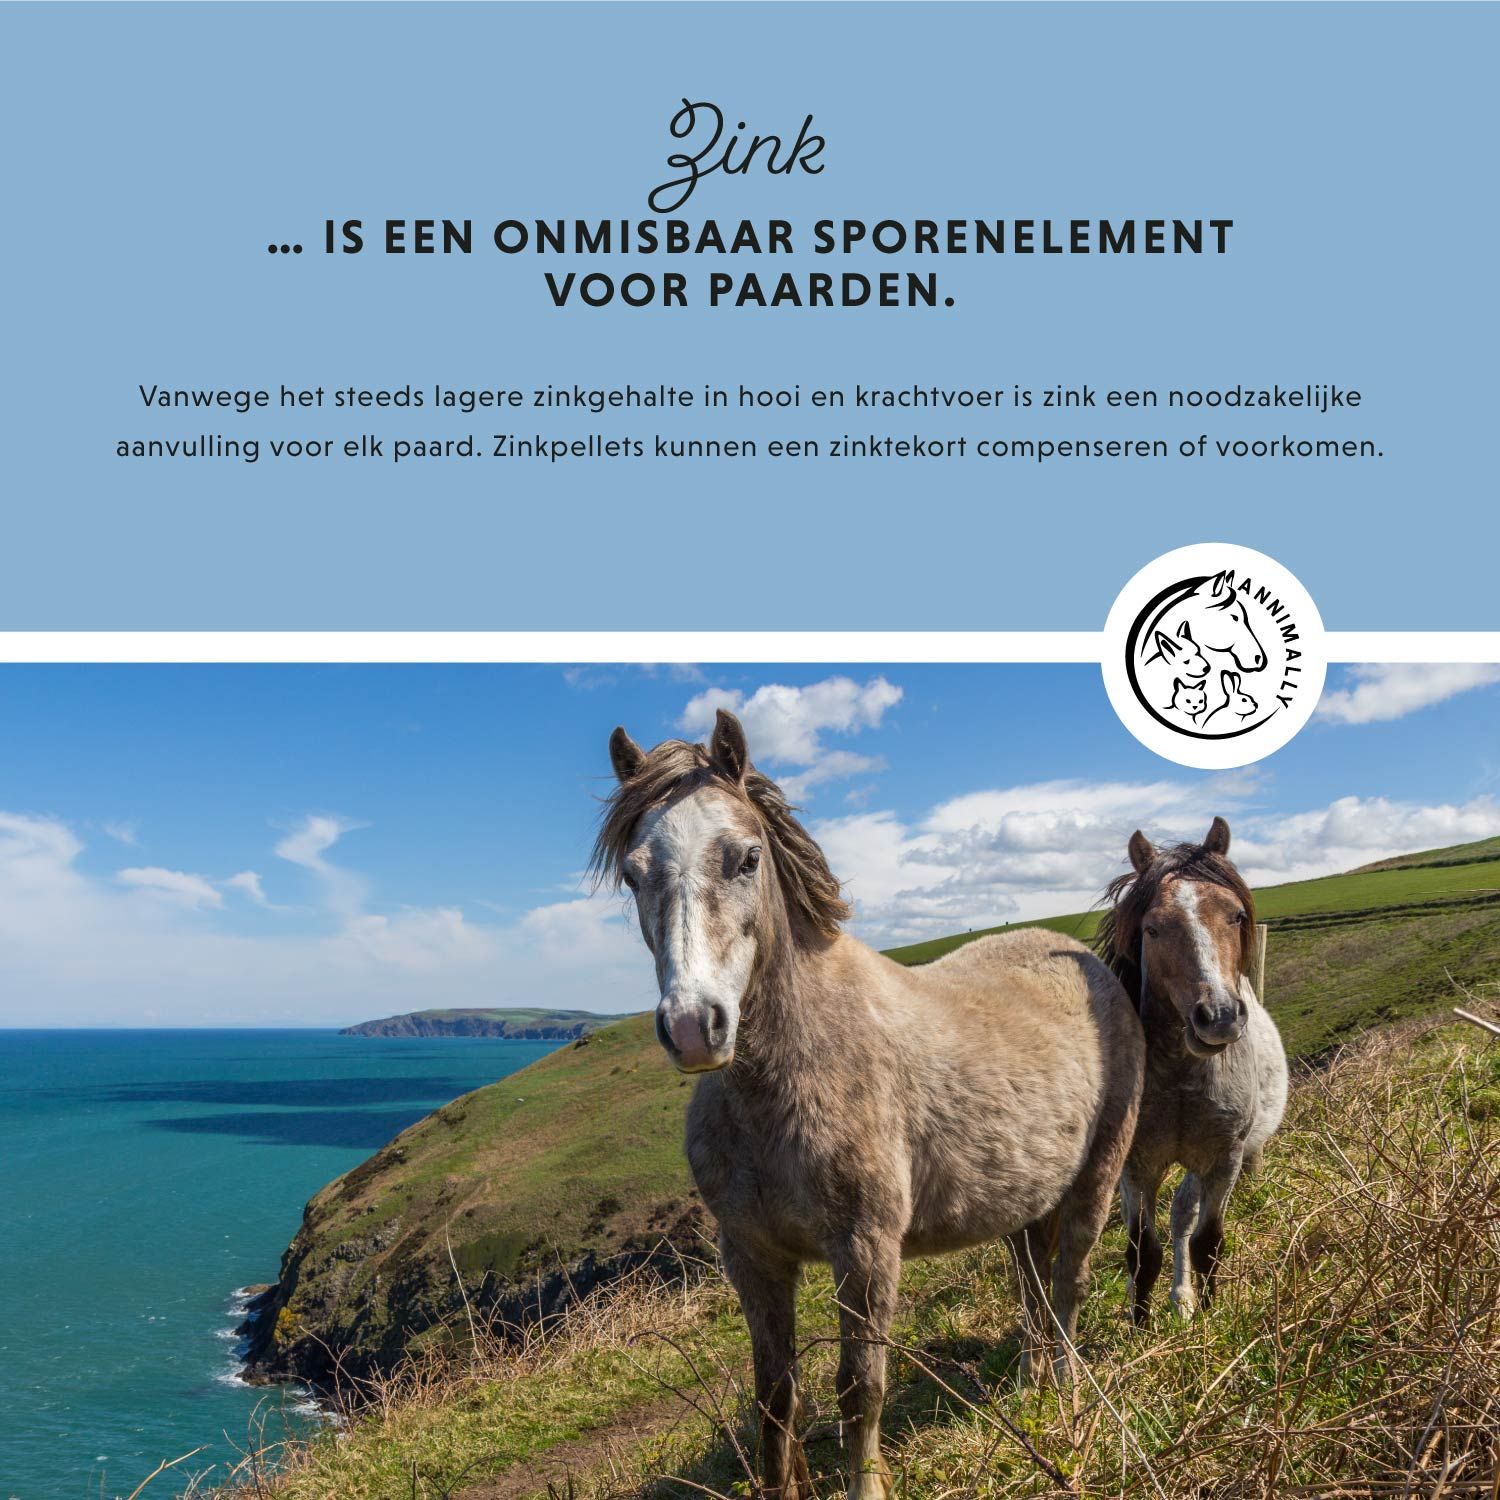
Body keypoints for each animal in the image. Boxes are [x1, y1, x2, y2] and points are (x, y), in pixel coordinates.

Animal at [594, 710, 1145, 1500]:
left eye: (745, 859)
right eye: (634, 874)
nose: (695, 1025)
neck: (782, 1086)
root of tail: (1087, 963)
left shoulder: (865, 1249)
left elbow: (861, 1388)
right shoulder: (753, 1256)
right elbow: (775, 1397)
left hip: (1097, 1179)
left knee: (1067, 1284)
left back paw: (1066, 1393)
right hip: (1021, 1203)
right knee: (1033, 1287)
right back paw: (1031, 1387)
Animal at [1095, 818, 1288, 1324]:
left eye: (1236, 915)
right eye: (1152, 928)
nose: (1218, 1016)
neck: (1182, 1079)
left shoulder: (1224, 1161)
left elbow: (1207, 1242)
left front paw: (1212, 1315)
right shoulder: (1138, 1167)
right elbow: (1142, 1253)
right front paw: (1139, 1327)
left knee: (1183, 1214)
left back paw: (1183, 1298)